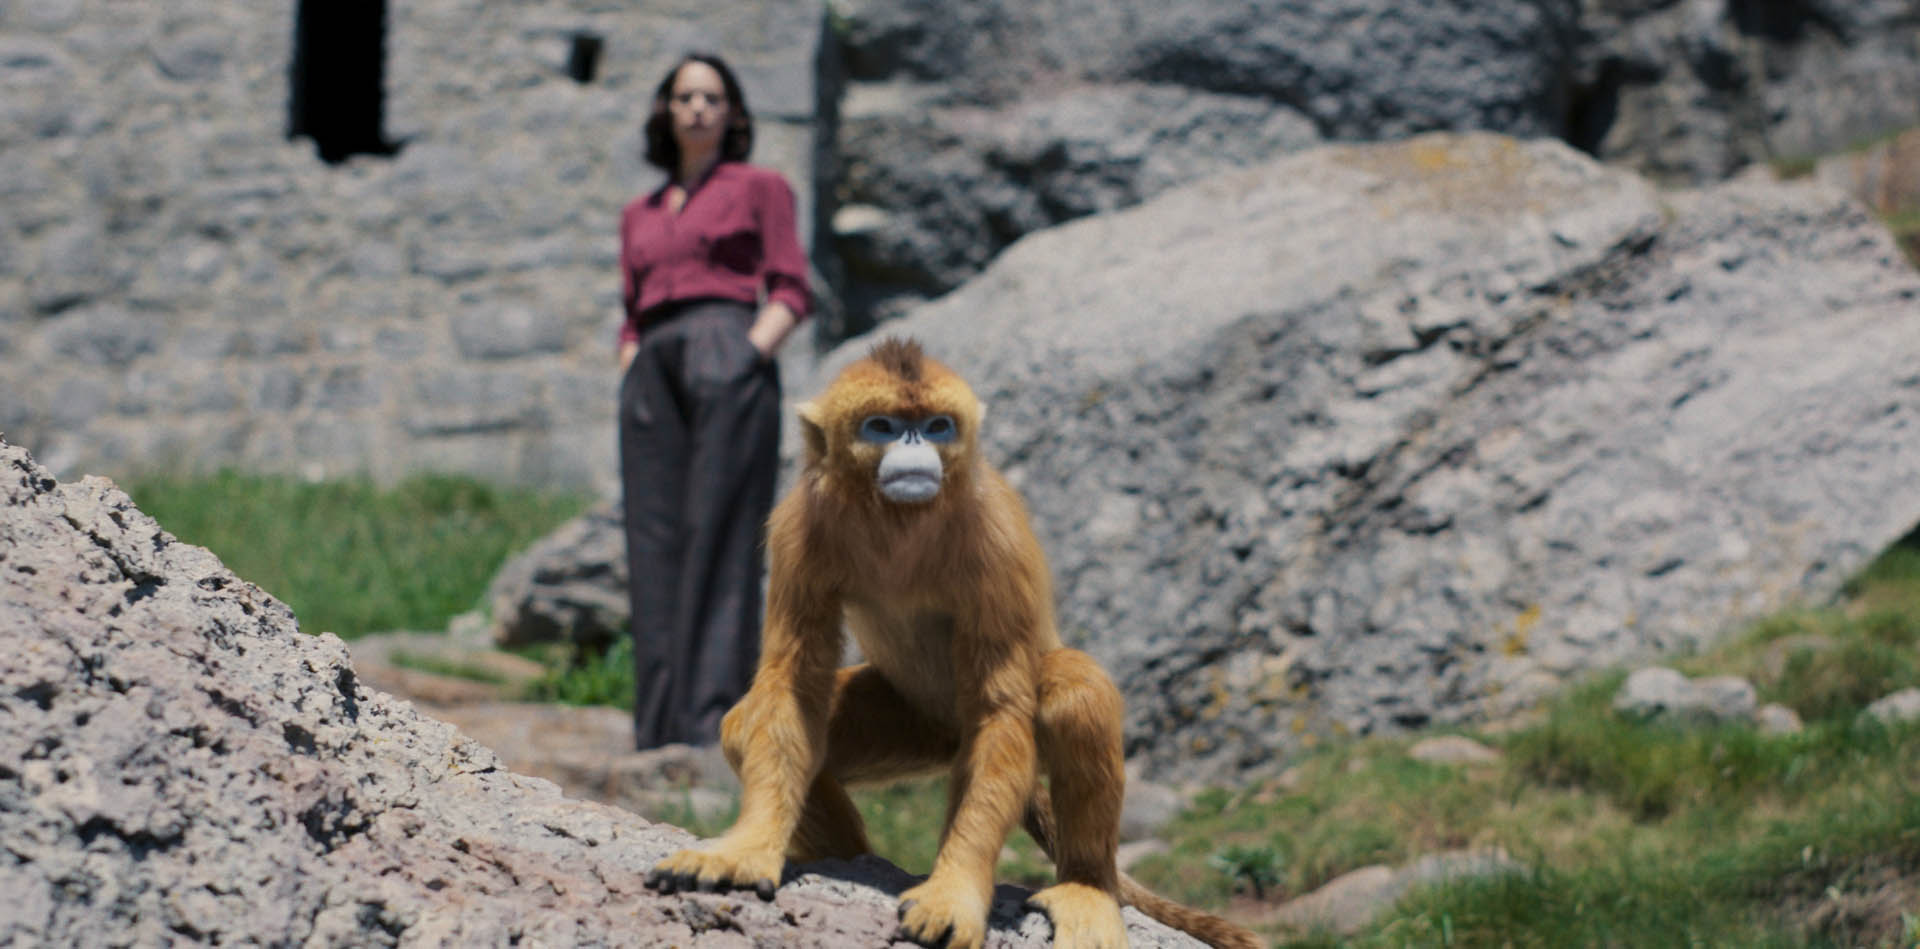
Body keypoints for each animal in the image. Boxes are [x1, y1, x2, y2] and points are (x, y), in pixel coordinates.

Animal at [648, 340, 1259, 949]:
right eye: (882, 426)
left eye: (936, 425)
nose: (915, 445)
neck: (900, 522)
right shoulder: (800, 525)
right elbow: (794, 682)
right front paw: (747, 849)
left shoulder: (996, 540)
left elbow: (1000, 708)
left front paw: (954, 892)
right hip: (915, 723)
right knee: (742, 726)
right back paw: (851, 858)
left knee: (1075, 687)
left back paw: (1087, 886)